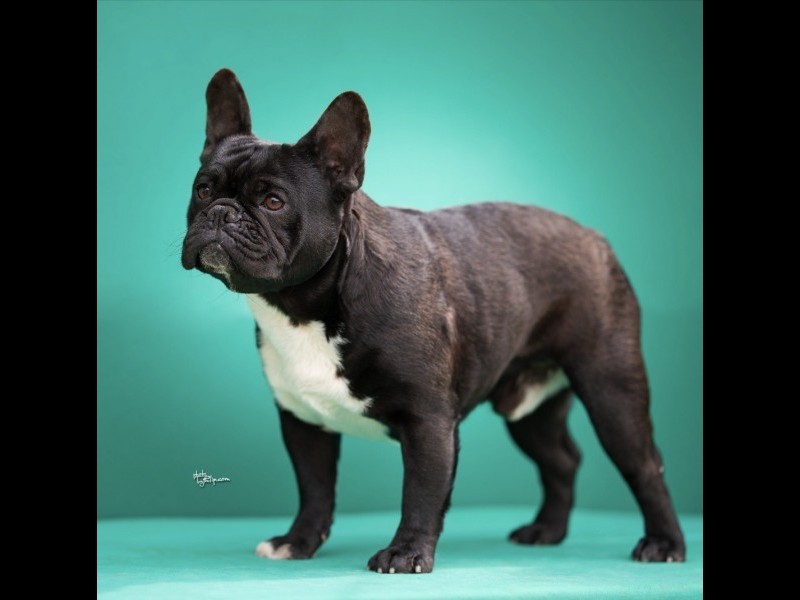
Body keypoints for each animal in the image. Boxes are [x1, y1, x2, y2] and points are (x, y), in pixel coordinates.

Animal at [181, 68, 686, 574]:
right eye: (202, 190)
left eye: (272, 201)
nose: (219, 212)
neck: (305, 309)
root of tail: (595, 238)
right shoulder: (305, 422)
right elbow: (315, 490)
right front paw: (299, 542)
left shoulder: (428, 421)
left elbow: (421, 492)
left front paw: (405, 554)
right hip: (529, 409)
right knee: (561, 459)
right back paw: (547, 531)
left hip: (611, 389)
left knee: (644, 464)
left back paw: (663, 544)